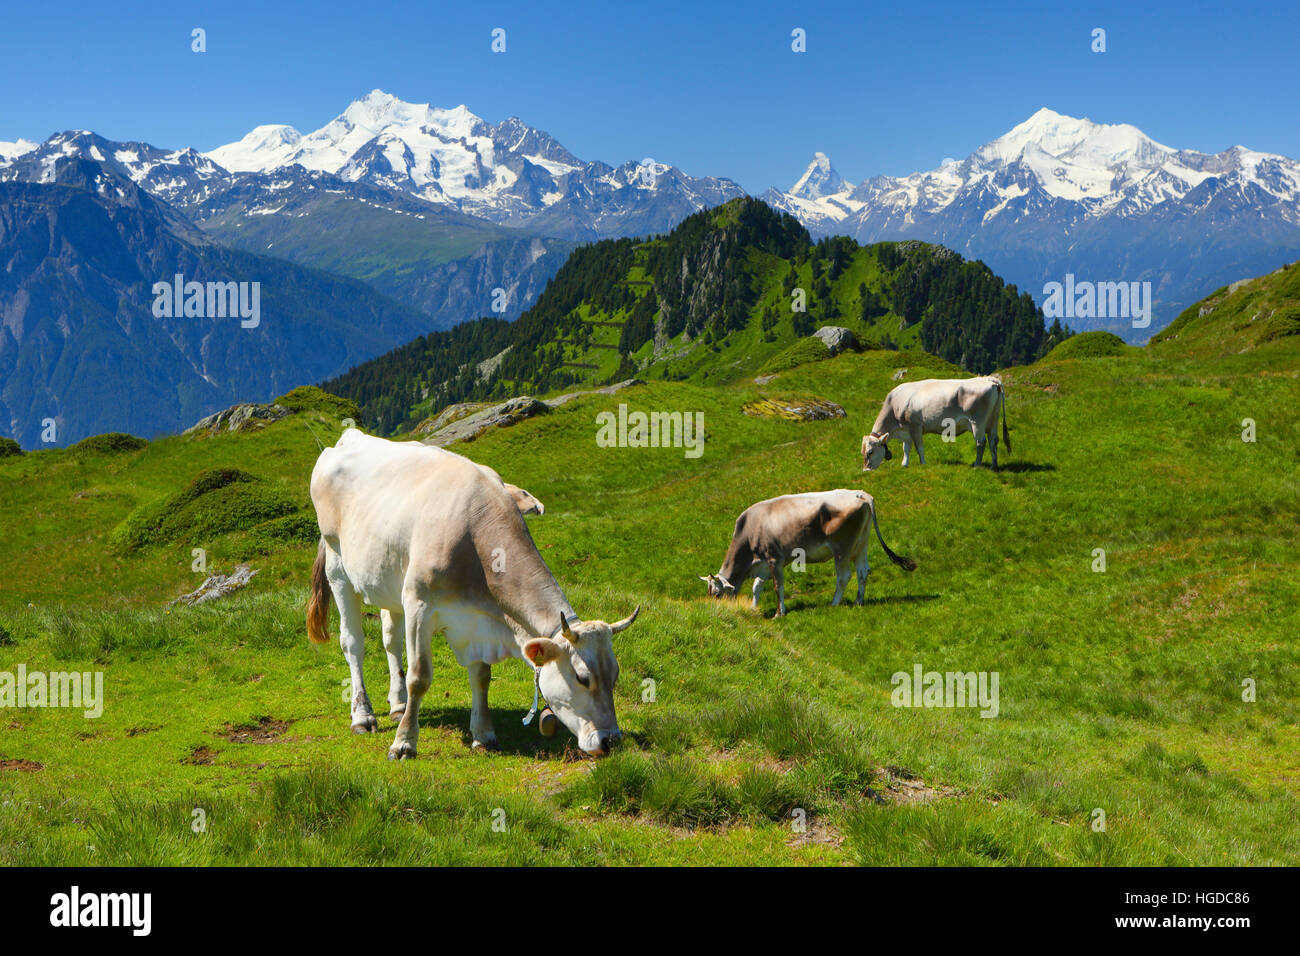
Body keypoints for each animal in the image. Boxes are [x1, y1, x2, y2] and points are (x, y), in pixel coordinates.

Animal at [309, 429, 634, 759]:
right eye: (582, 677)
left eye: (615, 674)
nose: (611, 740)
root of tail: (348, 437)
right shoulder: (419, 605)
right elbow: (419, 677)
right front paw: (403, 743)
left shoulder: (477, 618)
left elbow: (481, 676)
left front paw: (483, 734)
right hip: (337, 565)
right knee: (353, 643)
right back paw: (363, 715)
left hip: (389, 578)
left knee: (390, 639)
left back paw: (398, 705)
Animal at [702, 489, 915, 616]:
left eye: (717, 595)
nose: (715, 613)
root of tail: (861, 494)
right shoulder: (762, 563)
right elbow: (757, 587)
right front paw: (754, 609)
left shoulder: (774, 559)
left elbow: (777, 586)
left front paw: (779, 613)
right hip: (861, 545)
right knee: (863, 571)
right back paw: (858, 601)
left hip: (842, 548)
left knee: (844, 576)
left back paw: (834, 604)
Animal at [868, 379, 1008, 473]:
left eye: (870, 452)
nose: (866, 469)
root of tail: (990, 379)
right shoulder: (906, 431)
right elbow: (906, 448)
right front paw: (904, 464)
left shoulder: (915, 426)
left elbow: (919, 447)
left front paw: (923, 464)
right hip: (993, 421)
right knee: (993, 441)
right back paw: (994, 466)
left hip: (977, 422)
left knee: (981, 442)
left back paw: (976, 465)